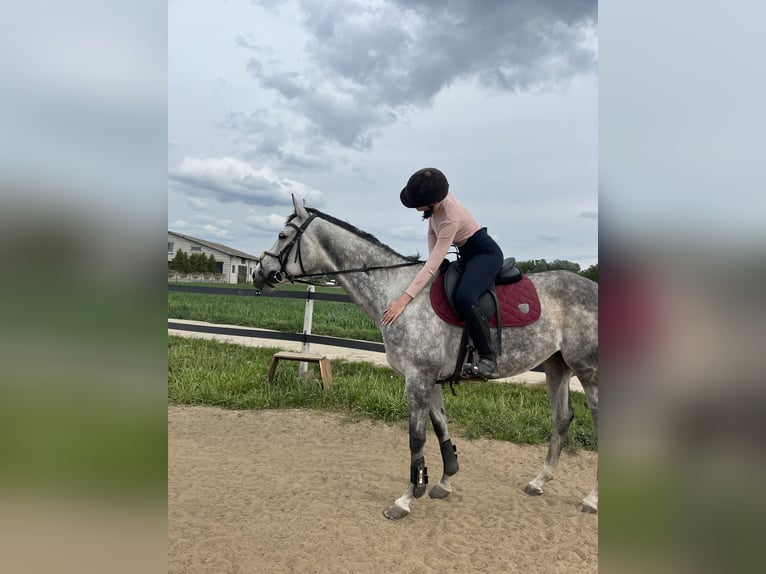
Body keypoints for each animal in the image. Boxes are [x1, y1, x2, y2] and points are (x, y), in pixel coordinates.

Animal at [252, 197, 600, 520]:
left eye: (282, 235)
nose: (258, 273)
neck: (399, 294)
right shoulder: (431, 380)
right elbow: (441, 427)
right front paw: (443, 482)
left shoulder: (417, 379)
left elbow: (416, 438)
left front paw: (406, 498)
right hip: (557, 366)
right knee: (562, 418)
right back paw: (539, 481)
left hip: (588, 371)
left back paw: (591, 499)